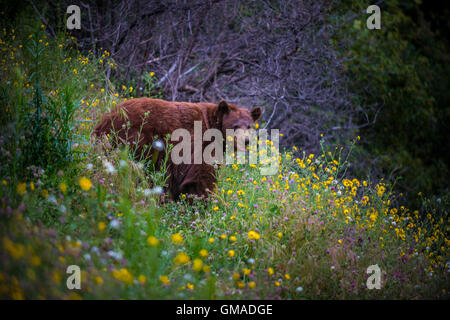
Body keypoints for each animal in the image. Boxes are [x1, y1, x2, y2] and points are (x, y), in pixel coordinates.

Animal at [92, 97, 260, 199]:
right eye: (235, 125)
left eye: (249, 126)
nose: (246, 141)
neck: (212, 126)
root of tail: (106, 119)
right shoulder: (199, 145)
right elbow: (200, 177)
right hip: (137, 141)